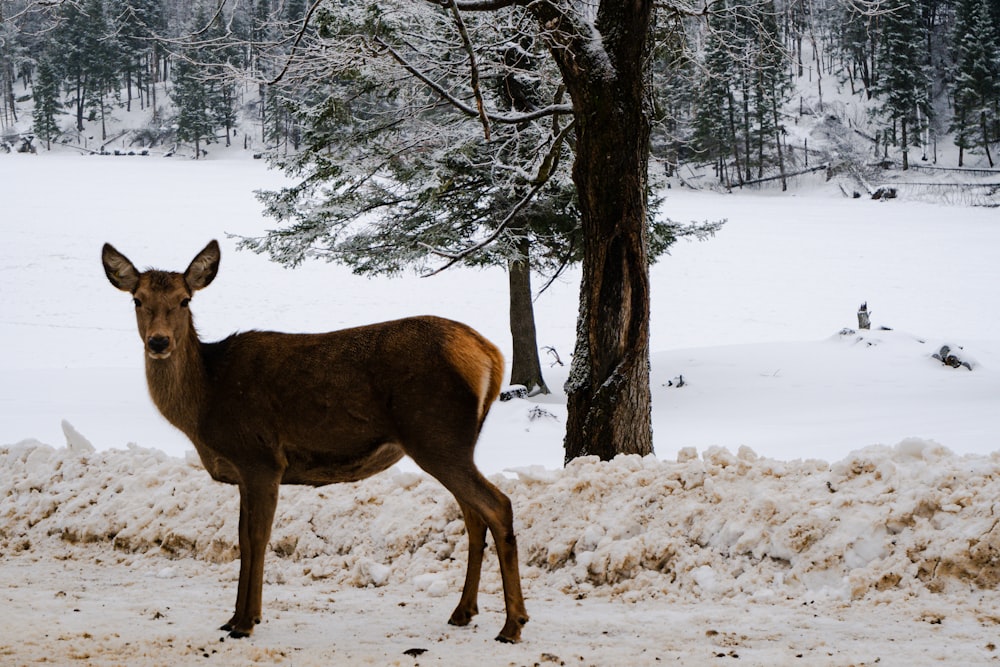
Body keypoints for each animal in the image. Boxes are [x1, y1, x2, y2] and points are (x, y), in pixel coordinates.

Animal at [101, 239, 532, 640]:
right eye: (137, 299)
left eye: (185, 299)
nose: (159, 342)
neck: (207, 400)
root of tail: (491, 355)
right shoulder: (244, 472)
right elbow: (242, 540)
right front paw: (237, 617)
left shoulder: (262, 459)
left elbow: (256, 539)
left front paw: (245, 622)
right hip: (451, 443)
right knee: (474, 516)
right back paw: (464, 612)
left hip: (437, 436)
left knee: (498, 506)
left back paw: (512, 624)